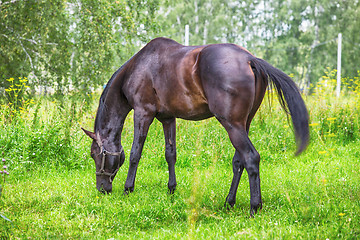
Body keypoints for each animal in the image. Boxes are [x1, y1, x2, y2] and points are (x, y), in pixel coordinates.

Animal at [82, 37, 310, 216]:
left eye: (95, 155)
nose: (102, 189)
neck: (139, 68)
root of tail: (249, 59)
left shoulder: (142, 114)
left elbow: (135, 154)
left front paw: (128, 189)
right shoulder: (168, 118)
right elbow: (170, 154)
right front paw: (171, 189)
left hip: (232, 125)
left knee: (251, 158)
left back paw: (255, 207)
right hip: (244, 124)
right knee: (239, 161)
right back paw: (229, 202)